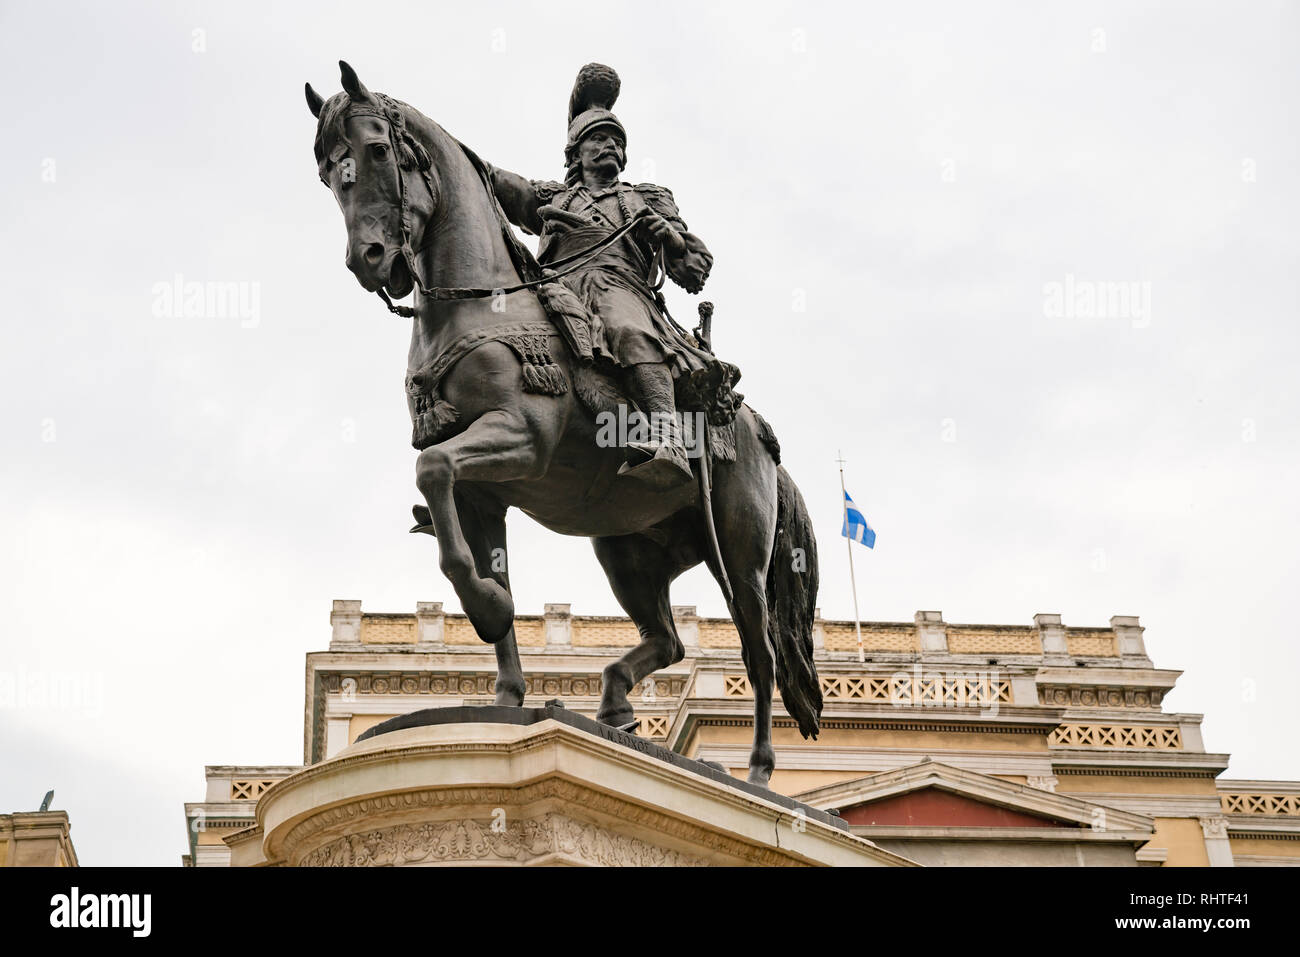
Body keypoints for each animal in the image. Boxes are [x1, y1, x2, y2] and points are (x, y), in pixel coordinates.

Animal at [301, 61, 821, 785]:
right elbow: (474, 555)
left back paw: (759, 772)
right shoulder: (480, 491)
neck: (481, 306)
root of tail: (762, 435)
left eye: (378, 150)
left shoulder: (521, 440)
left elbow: (432, 469)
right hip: (629, 549)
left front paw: (488, 612)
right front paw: (506, 682)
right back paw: (613, 703)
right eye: (327, 169)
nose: (371, 259)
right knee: (668, 637)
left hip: (740, 552)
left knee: (761, 650)